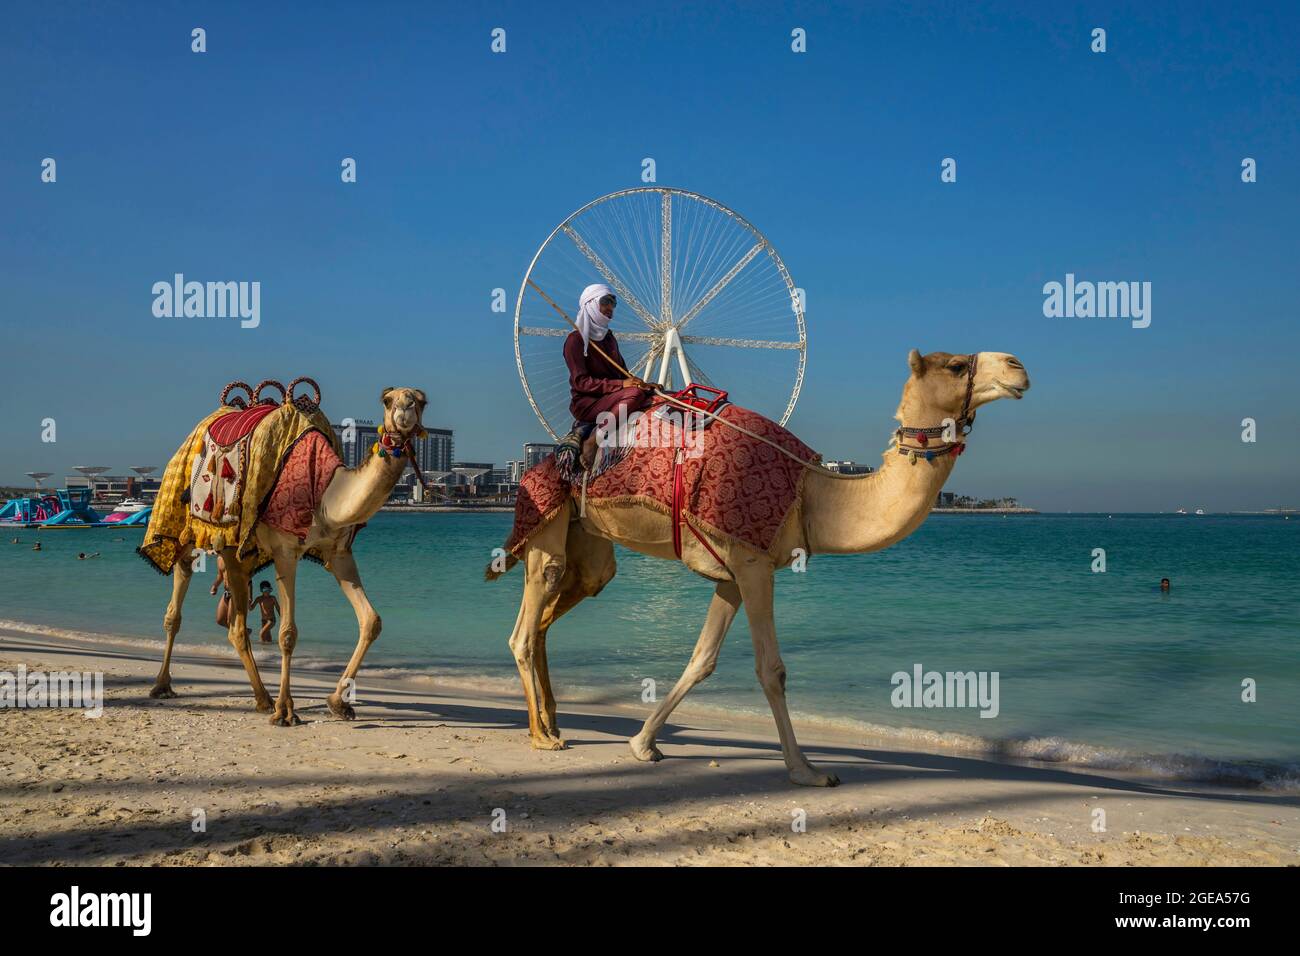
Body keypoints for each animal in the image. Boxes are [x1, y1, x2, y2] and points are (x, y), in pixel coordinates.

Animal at [150, 387, 426, 723]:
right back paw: (163, 686)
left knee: (237, 627)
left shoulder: (338, 552)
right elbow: (287, 633)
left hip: (236, 548)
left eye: (422, 401)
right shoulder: (285, 551)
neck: (325, 490)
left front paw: (337, 702)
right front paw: (286, 711)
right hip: (186, 528)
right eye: (387, 400)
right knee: (178, 599)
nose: (406, 408)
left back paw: (262, 698)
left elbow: (371, 621)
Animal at [491, 351, 1029, 785]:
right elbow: (772, 669)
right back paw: (542, 736)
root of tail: (539, 464)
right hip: (545, 525)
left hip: (589, 543)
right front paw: (806, 770)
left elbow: (702, 660)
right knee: (524, 625)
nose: (1017, 366)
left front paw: (643, 744)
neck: (810, 494)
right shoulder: (754, 566)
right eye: (956, 365)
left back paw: (553, 721)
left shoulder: (731, 574)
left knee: (558, 607)